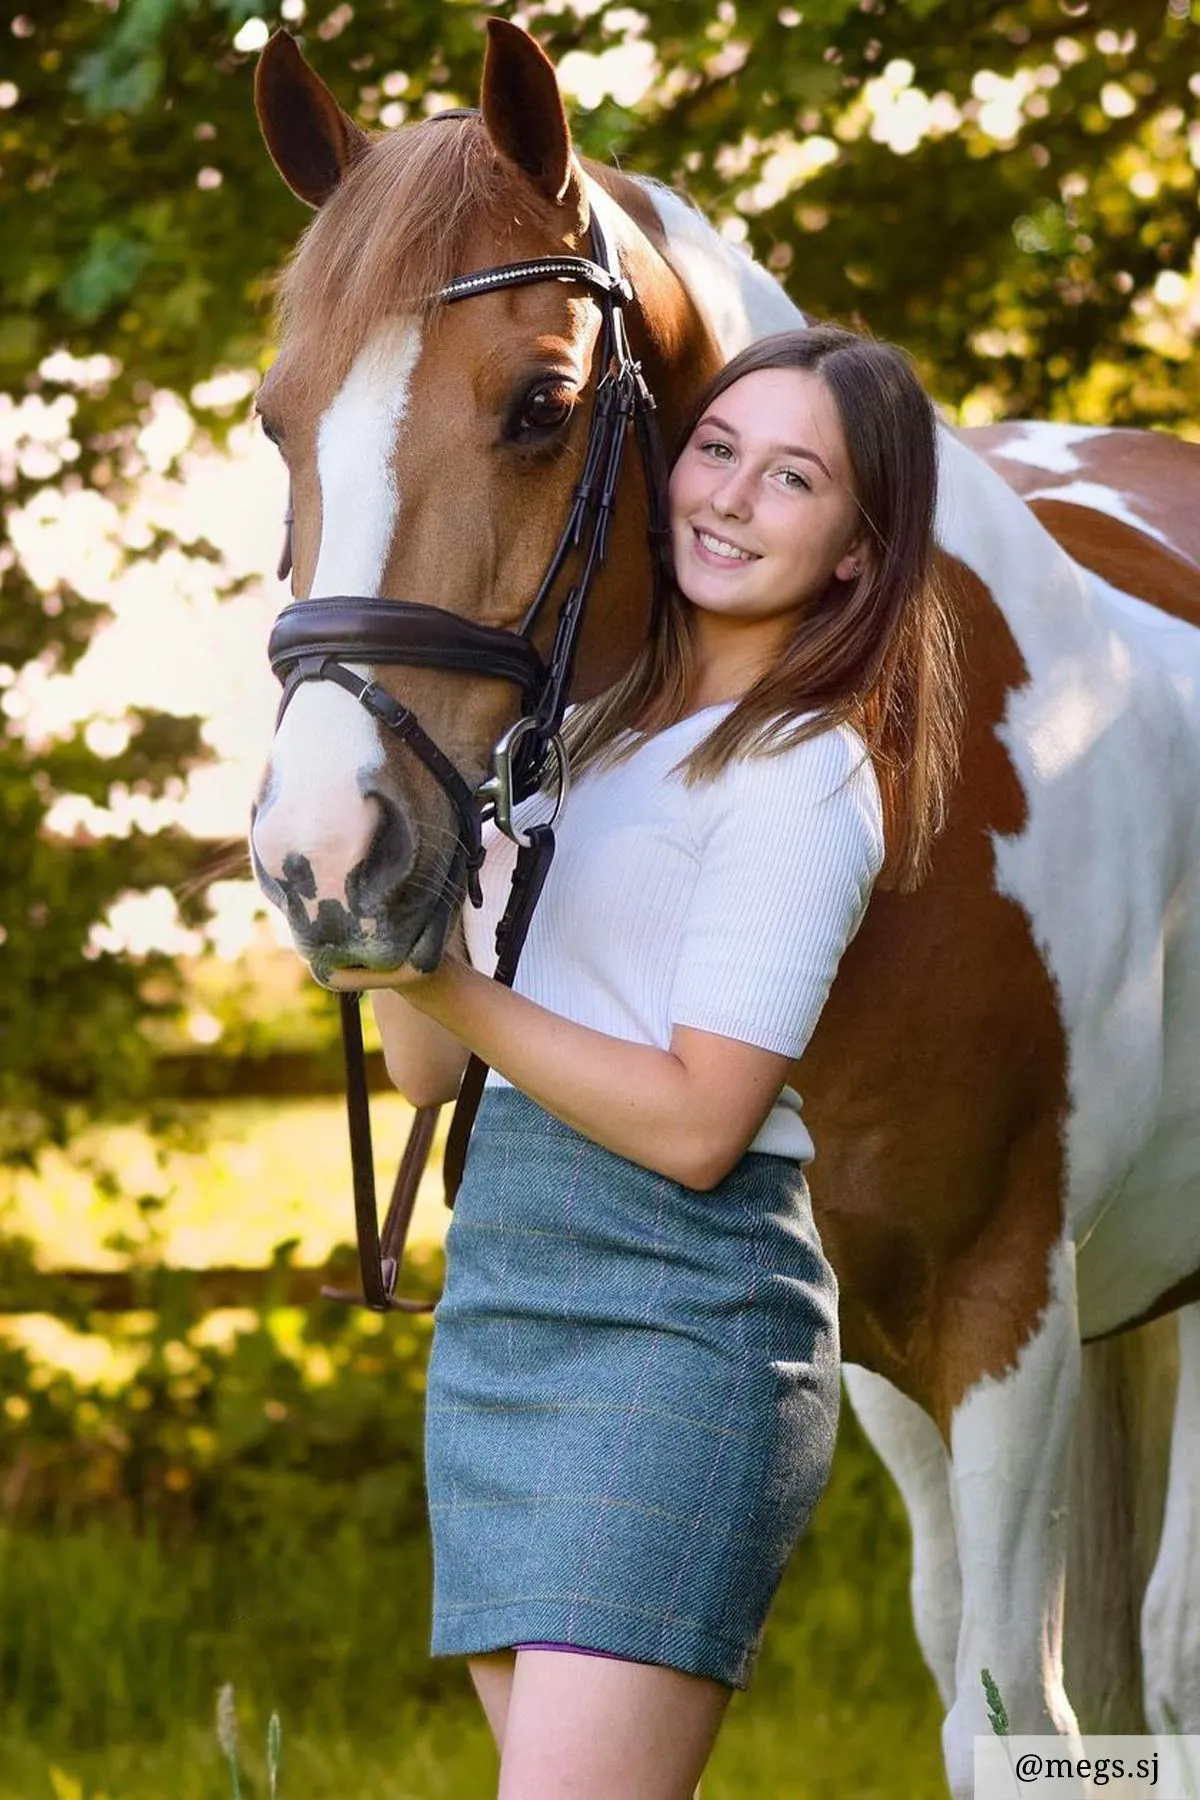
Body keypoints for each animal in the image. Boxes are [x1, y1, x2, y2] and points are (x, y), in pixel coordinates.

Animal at [246, 21, 1200, 1792]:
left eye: (542, 404)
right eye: (278, 423)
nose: (323, 856)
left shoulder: (1009, 1317)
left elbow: (1007, 1714)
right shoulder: (888, 1354)